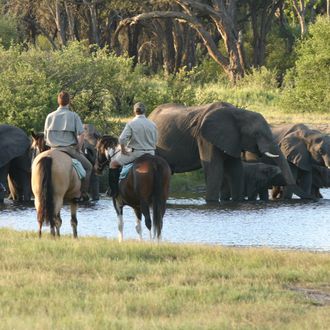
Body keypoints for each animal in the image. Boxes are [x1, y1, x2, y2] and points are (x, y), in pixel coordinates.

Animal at [148, 102, 308, 202]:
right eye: (256, 134)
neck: (238, 112)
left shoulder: (233, 139)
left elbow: (236, 169)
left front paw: (237, 201)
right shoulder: (205, 137)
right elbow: (214, 168)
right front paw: (212, 202)